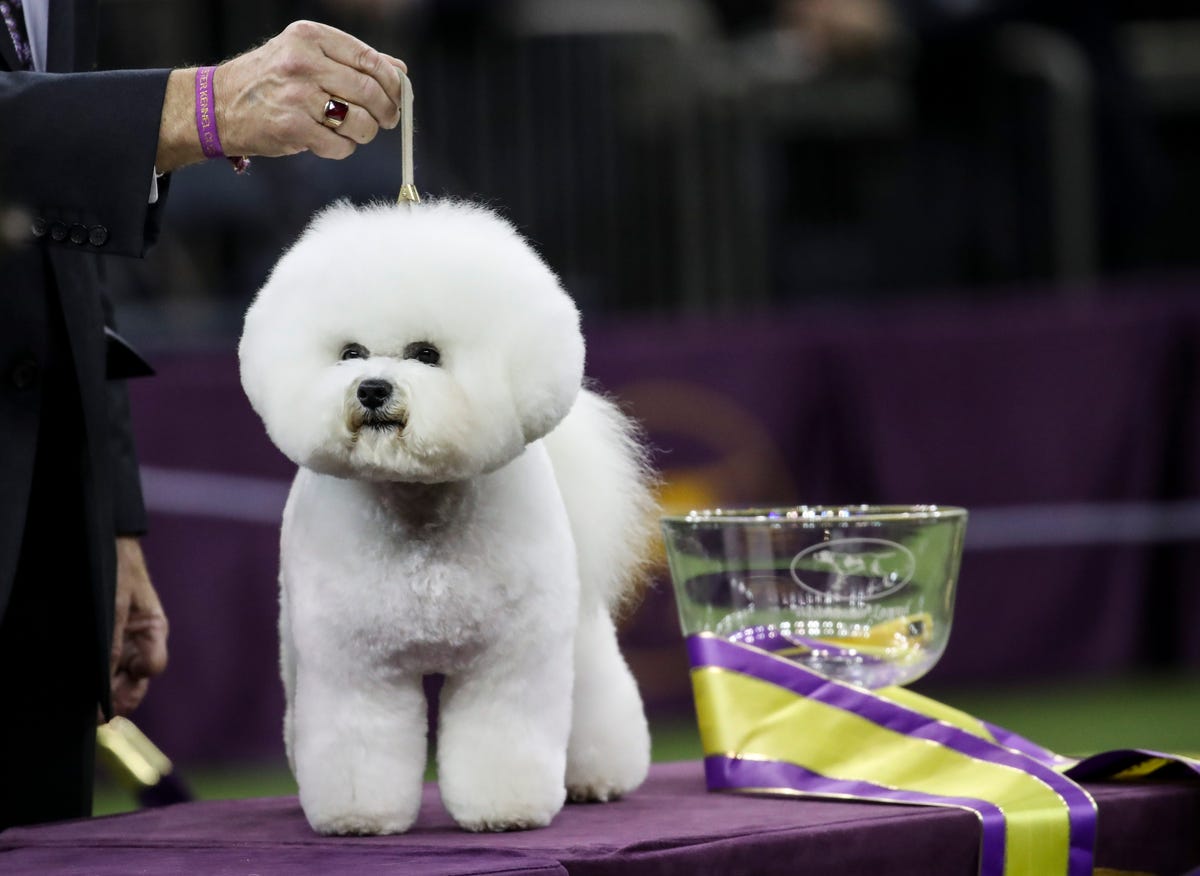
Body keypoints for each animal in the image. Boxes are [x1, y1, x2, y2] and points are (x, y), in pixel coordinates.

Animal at [235, 199, 657, 830]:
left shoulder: (510, 660)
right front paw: (358, 817)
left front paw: (506, 810)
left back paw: (597, 779)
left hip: (576, 631)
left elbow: (501, 735)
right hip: (294, 639)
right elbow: (358, 741)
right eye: (350, 353)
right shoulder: (355, 666)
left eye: (426, 354)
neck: (419, 508)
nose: (372, 389)